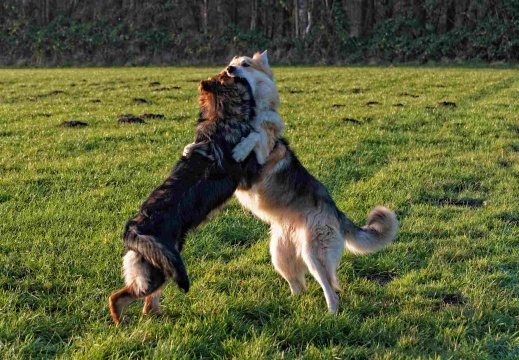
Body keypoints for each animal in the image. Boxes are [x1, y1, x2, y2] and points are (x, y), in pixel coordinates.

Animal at [108, 72, 284, 324]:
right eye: (227, 75)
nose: (233, 69)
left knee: (147, 303)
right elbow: (261, 145)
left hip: (164, 267)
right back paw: (121, 325)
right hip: (158, 272)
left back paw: (155, 316)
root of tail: (133, 228)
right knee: (118, 298)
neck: (222, 114)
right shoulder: (248, 175)